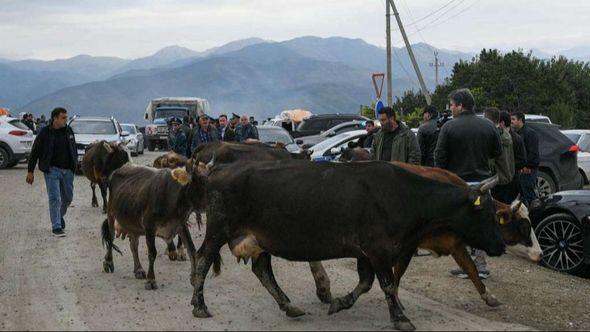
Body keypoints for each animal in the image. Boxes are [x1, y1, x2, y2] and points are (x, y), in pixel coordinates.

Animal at [102, 160, 213, 290]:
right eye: (201, 180)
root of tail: (119, 169)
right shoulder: (149, 226)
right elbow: (152, 253)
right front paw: (151, 280)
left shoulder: (181, 225)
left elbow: (192, 250)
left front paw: (195, 278)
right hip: (111, 213)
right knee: (111, 238)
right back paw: (108, 262)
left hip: (134, 224)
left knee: (133, 245)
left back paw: (138, 269)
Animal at [192, 160, 506, 330]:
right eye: (488, 214)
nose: (501, 247)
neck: (405, 196)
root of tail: (218, 169)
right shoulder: (378, 250)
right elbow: (387, 284)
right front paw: (400, 318)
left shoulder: (367, 253)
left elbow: (366, 284)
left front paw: (340, 302)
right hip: (219, 229)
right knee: (203, 260)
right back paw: (199, 305)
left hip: (260, 238)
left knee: (262, 270)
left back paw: (289, 305)